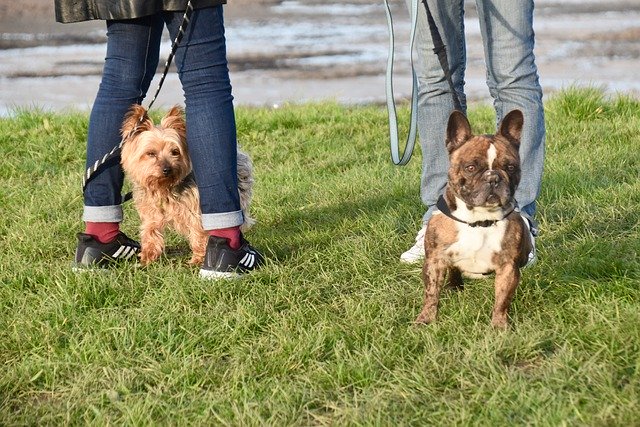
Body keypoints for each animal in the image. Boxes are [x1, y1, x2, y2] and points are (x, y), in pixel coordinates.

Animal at [120, 105, 255, 266]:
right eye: (151, 153)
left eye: (175, 152)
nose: (167, 169)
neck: (164, 187)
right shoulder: (150, 209)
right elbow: (150, 229)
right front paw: (148, 256)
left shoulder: (195, 210)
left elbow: (198, 232)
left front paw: (198, 259)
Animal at [412, 109, 532, 328]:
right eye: (470, 167)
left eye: (510, 167)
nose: (493, 178)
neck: (479, 220)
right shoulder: (435, 261)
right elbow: (431, 293)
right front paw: (425, 320)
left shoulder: (507, 268)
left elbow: (502, 299)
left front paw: (498, 326)